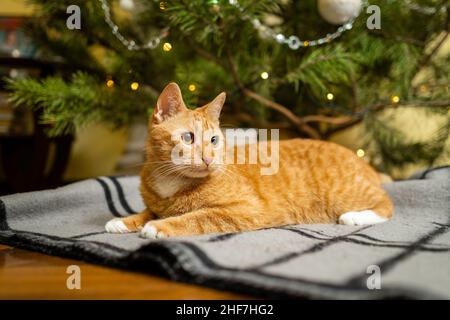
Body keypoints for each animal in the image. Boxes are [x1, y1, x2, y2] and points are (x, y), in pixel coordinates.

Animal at [106, 84, 394, 239]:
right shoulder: (156, 203)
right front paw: (124, 220)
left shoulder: (244, 209)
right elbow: (147, 211)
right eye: (188, 137)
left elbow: (196, 217)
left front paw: (160, 226)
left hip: (345, 193)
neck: (171, 183)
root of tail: (360, 160)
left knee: (387, 204)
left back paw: (355, 217)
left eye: (213, 140)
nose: (208, 158)